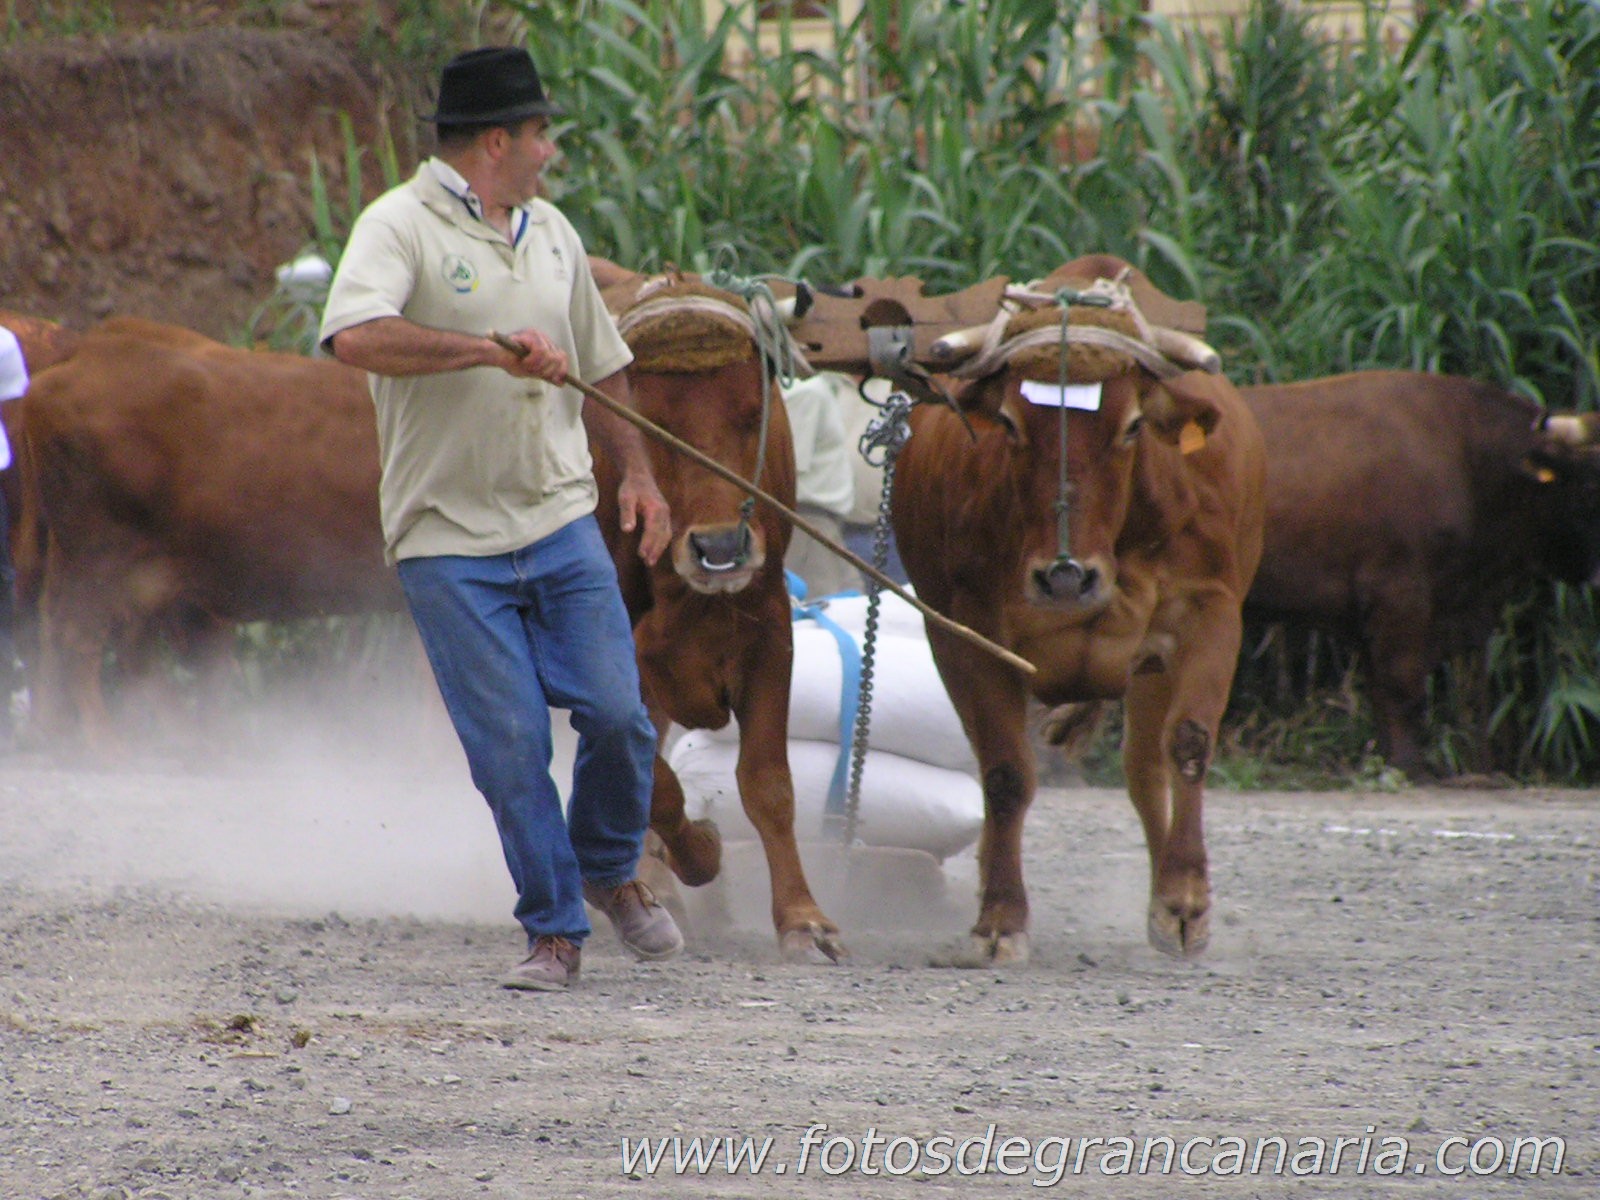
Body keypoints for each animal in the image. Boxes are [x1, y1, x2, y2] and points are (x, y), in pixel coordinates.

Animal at [591, 269, 846, 963]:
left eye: (755, 413)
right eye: (651, 424)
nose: (722, 546)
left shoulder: (770, 634)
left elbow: (768, 785)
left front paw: (803, 918)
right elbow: (653, 783)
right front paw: (699, 851)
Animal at [890, 254, 1265, 963]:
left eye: (1132, 426)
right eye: (1010, 423)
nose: (1066, 576)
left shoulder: (1210, 612)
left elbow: (1188, 744)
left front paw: (1185, 900)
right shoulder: (967, 630)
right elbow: (1006, 771)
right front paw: (1000, 916)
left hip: (1151, 668)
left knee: (1145, 769)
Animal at [1240, 371, 1600, 776]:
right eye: (1591, 487)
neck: (1468, 456)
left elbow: (1381, 691)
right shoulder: (1401, 597)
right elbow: (1402, 687)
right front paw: (1409, 766)